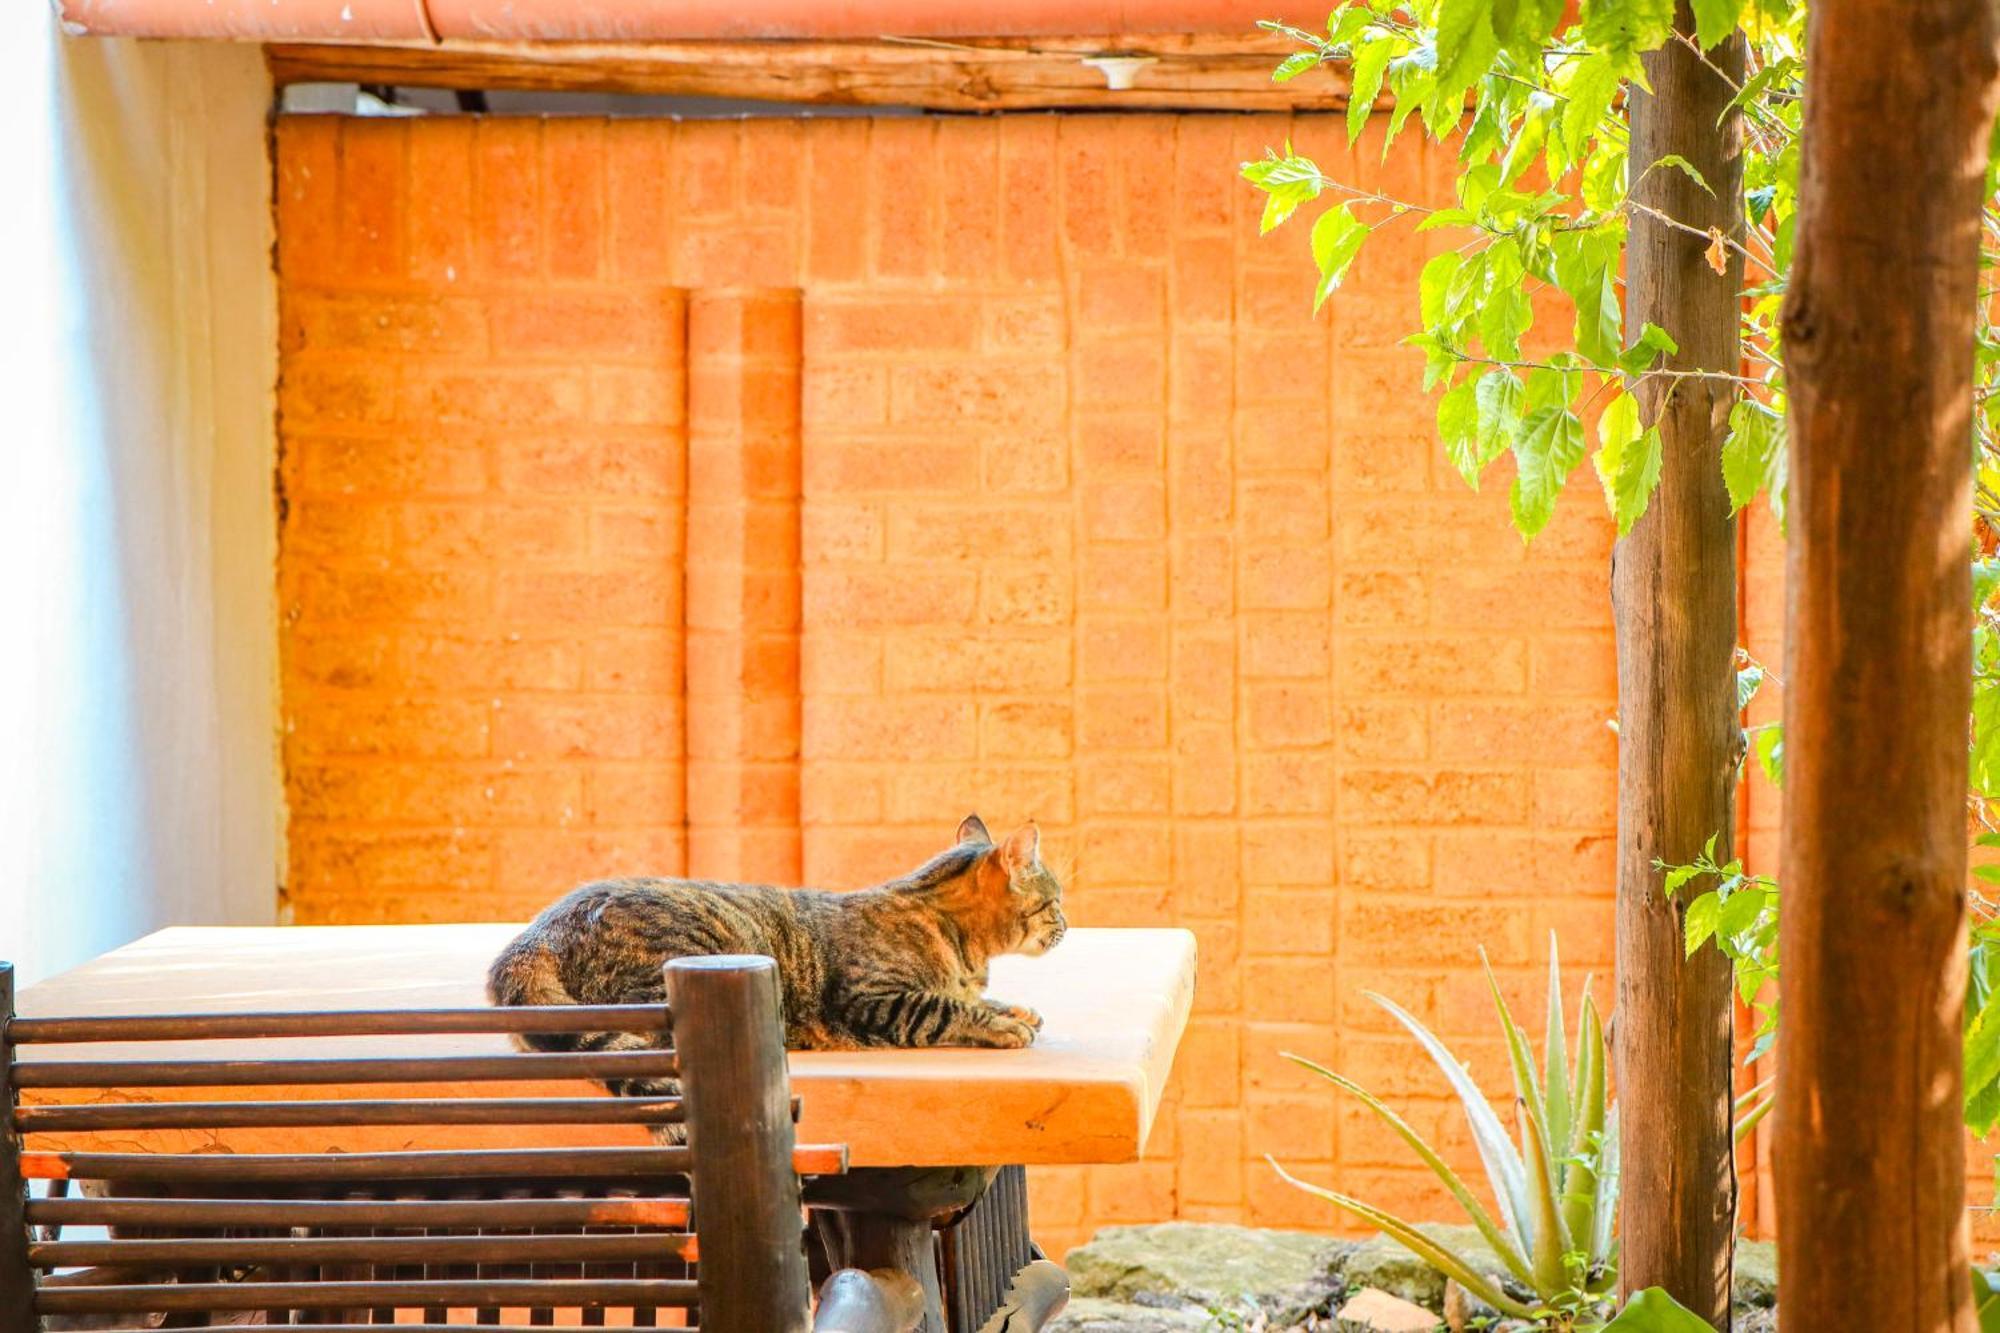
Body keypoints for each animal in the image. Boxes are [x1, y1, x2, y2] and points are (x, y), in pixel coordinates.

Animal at [488, 808, 1064, 1072]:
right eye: (1056, 899)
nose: (1066, 921)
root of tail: (535, 931)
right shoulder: (875, 1000)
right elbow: (946, 1008)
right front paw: (1000, 1024)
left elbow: (971, 998)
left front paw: (1012, 1008)